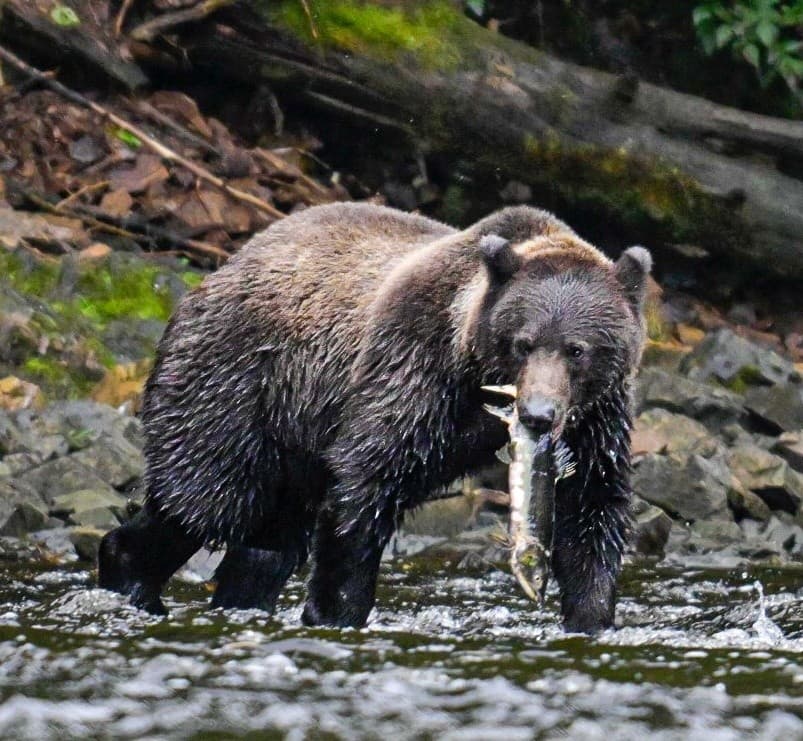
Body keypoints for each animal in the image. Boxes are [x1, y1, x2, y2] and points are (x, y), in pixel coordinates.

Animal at [97, 202, 651, 633]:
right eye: (523, 342)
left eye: (577, 349)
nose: (538, 415)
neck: (474, 374)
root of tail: (211, 275)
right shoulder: (412, 368)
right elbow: (366, 481)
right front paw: (336, 610)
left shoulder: (598, 420)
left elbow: (593, 510)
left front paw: (591, 617)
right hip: (238, 384)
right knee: (202, 498)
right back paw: (129, 575)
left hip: (291, 440)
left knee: (267, 544)